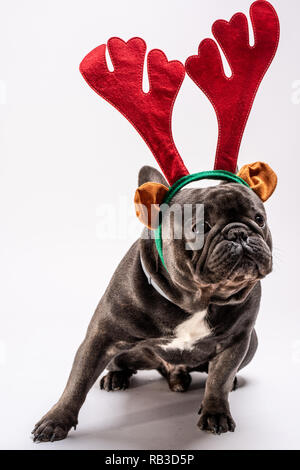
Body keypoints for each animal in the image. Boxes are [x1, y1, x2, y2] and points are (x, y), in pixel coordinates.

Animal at [32, 164, 272, 440]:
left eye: (259, 219)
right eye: (200, 227)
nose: (239, 232)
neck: (196, 299)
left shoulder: (237, 340)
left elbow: (219, 379)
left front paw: (216, 413)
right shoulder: (101, 336)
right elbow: (78, 381)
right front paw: (56, 420)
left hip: (253, 343)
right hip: (125, 353)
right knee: (117, 363)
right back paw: (116, 378)